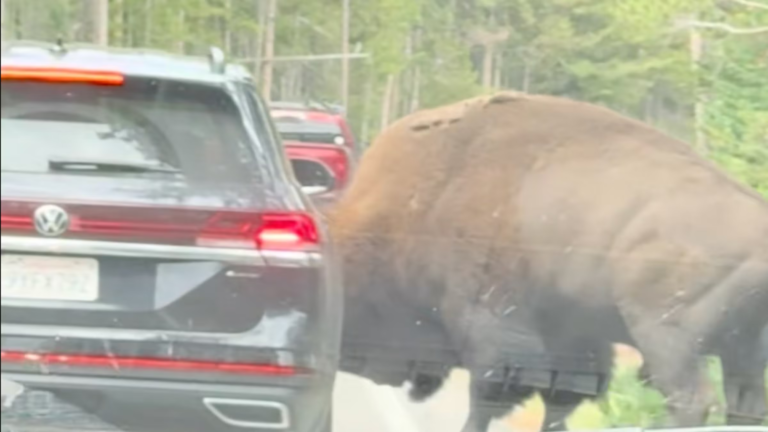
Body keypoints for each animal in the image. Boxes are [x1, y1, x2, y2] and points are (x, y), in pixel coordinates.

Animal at [331, 92, 768, 431]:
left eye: (363, 302)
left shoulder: (491, 324)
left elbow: (491, 396)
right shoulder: (572, 339)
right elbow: (562, 398)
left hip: (666, 337)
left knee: (691, 398)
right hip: (743, 352)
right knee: (745, 403)